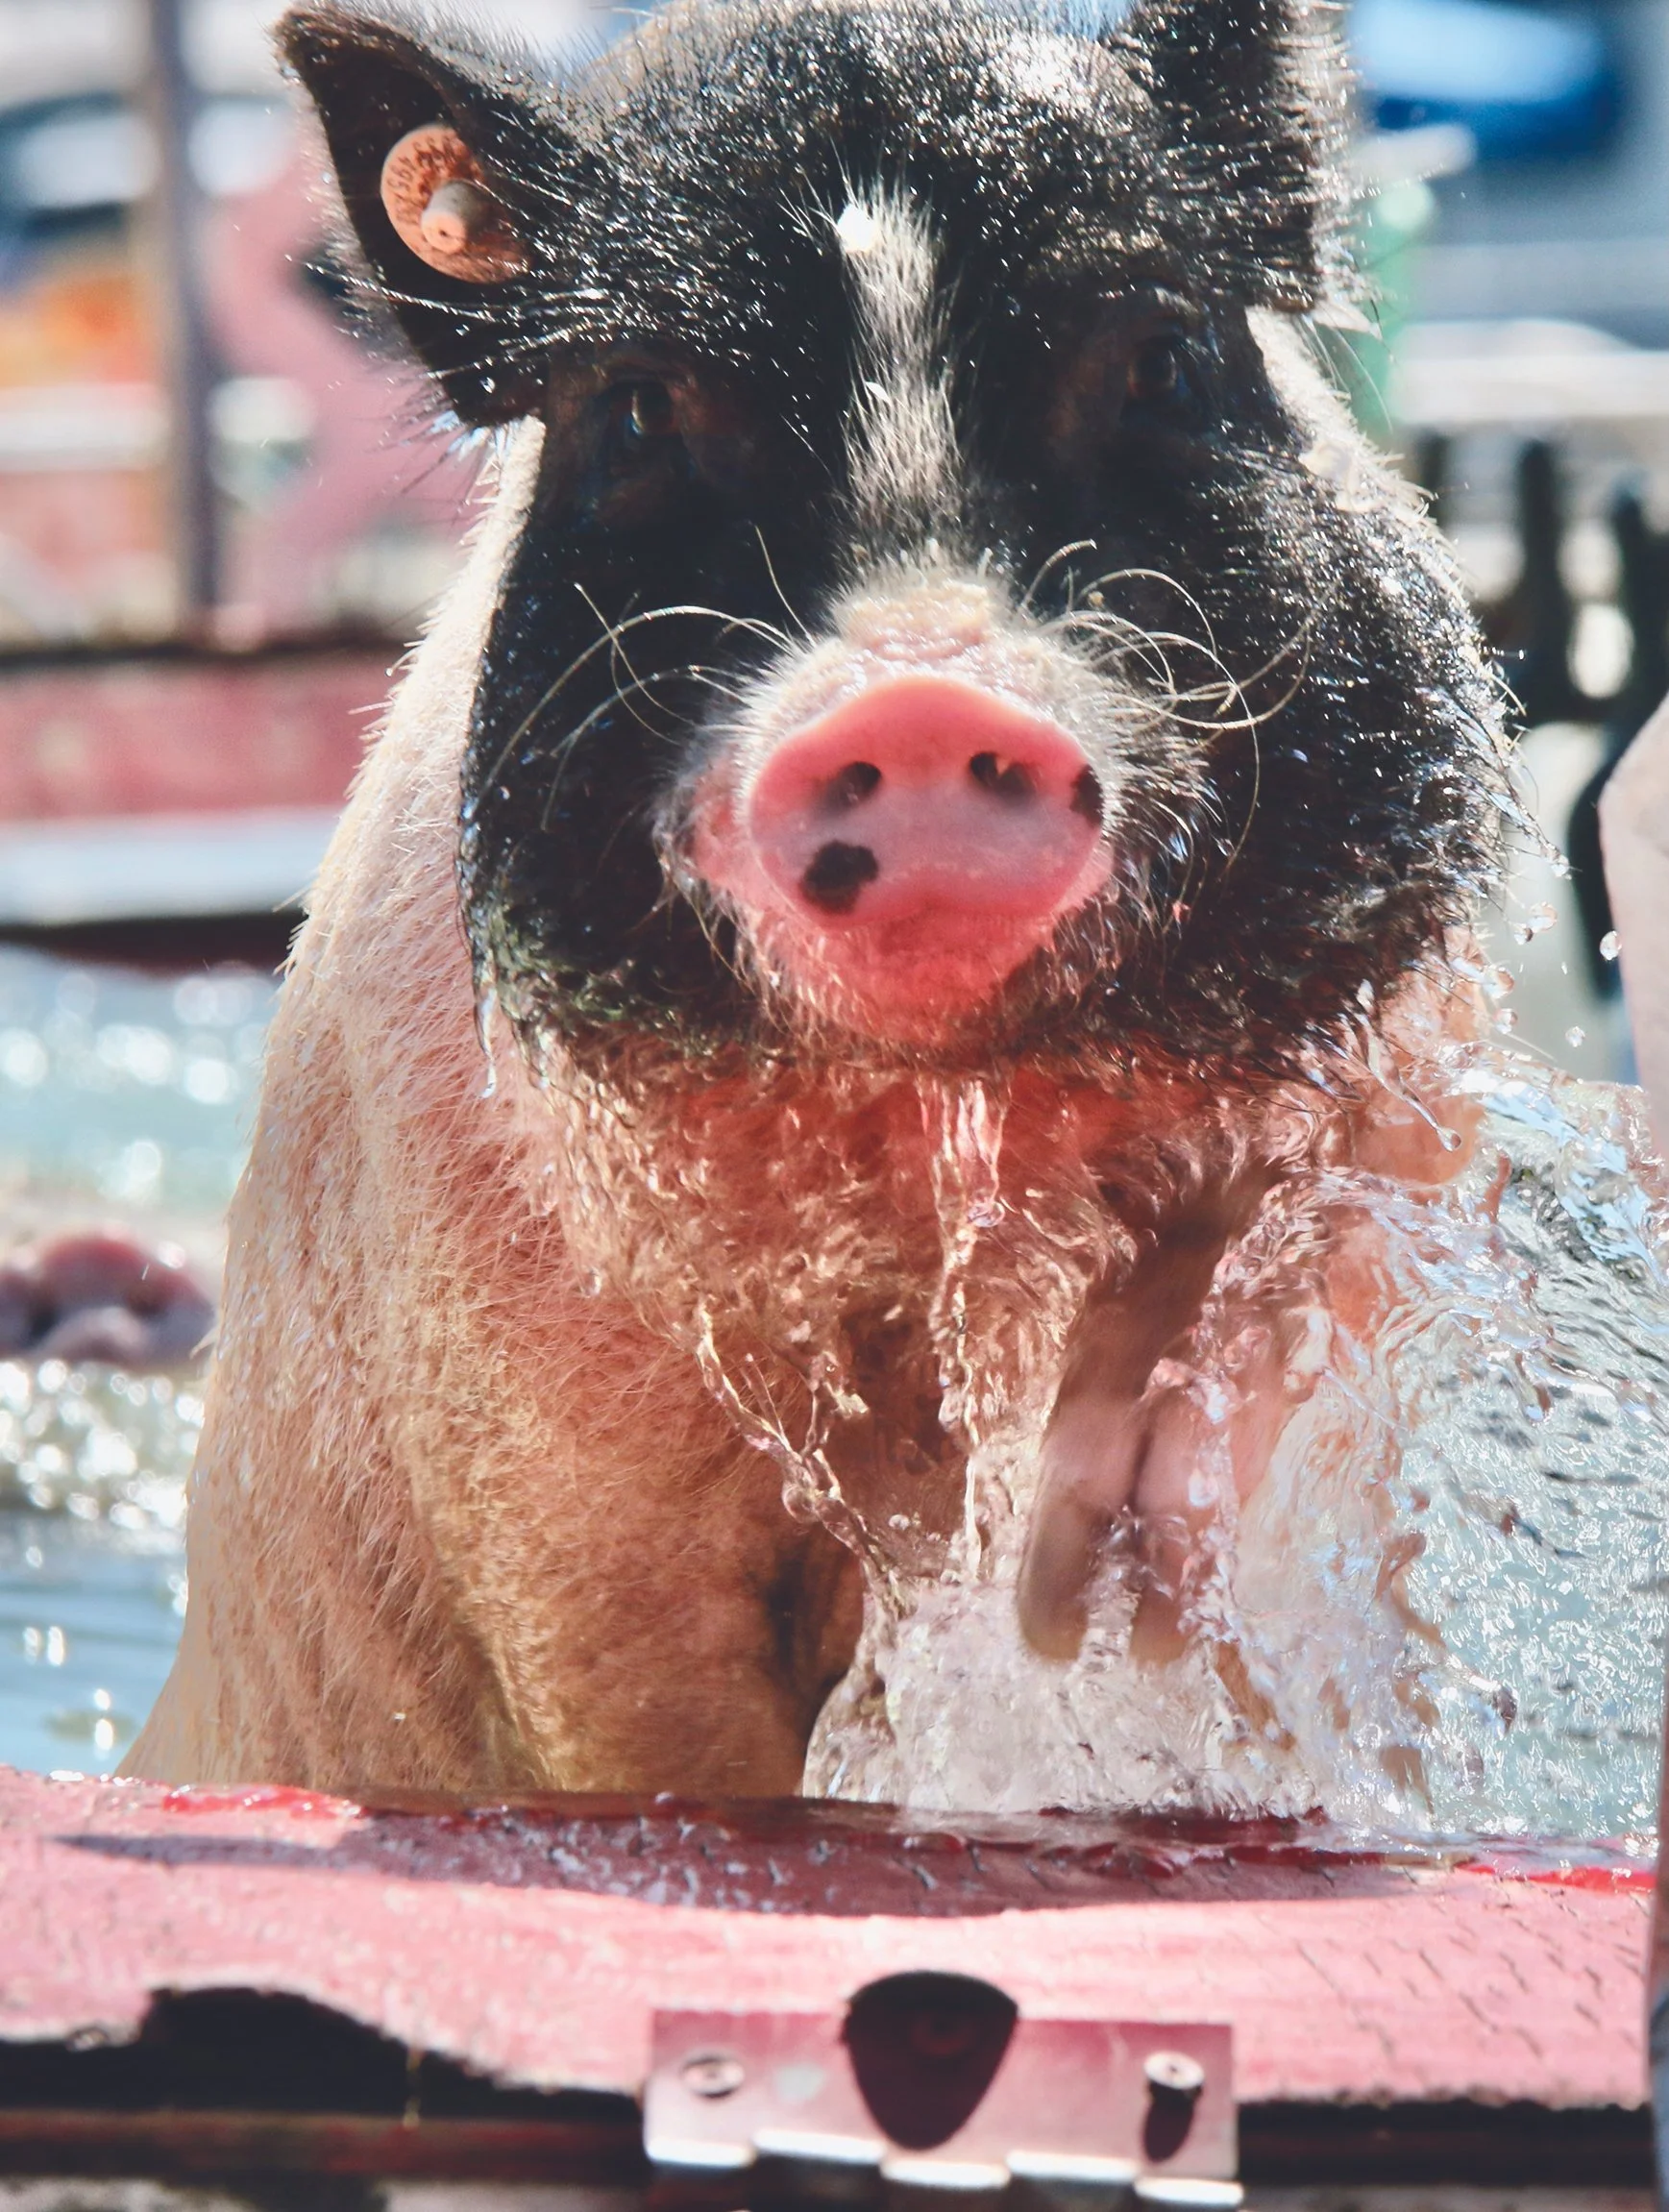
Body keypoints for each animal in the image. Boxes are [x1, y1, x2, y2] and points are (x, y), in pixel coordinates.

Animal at [126, 0, 1506, 1796]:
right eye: (640, 410)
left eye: (1162, 356)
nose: (915, 694)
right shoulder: (529, 1455)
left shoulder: (1407, 1096)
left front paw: (1079, 1593)